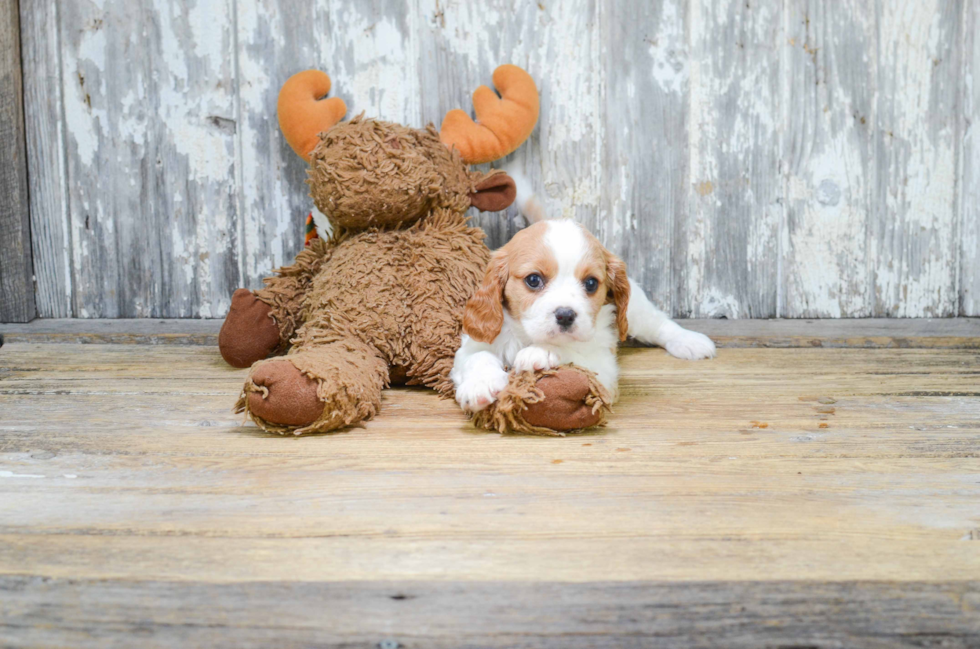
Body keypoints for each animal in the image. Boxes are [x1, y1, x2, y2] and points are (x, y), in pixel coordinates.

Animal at [448, 218, 716, 410]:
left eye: (590, 283)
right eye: (533, 280)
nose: (566, 315)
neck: (526, 336)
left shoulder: (602, 367)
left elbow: (574, 353)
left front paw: (541, 352)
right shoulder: (473, 345)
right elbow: (478, 357)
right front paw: (480, 384)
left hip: (636, 311)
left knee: (659, 323)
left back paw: (689, 341)